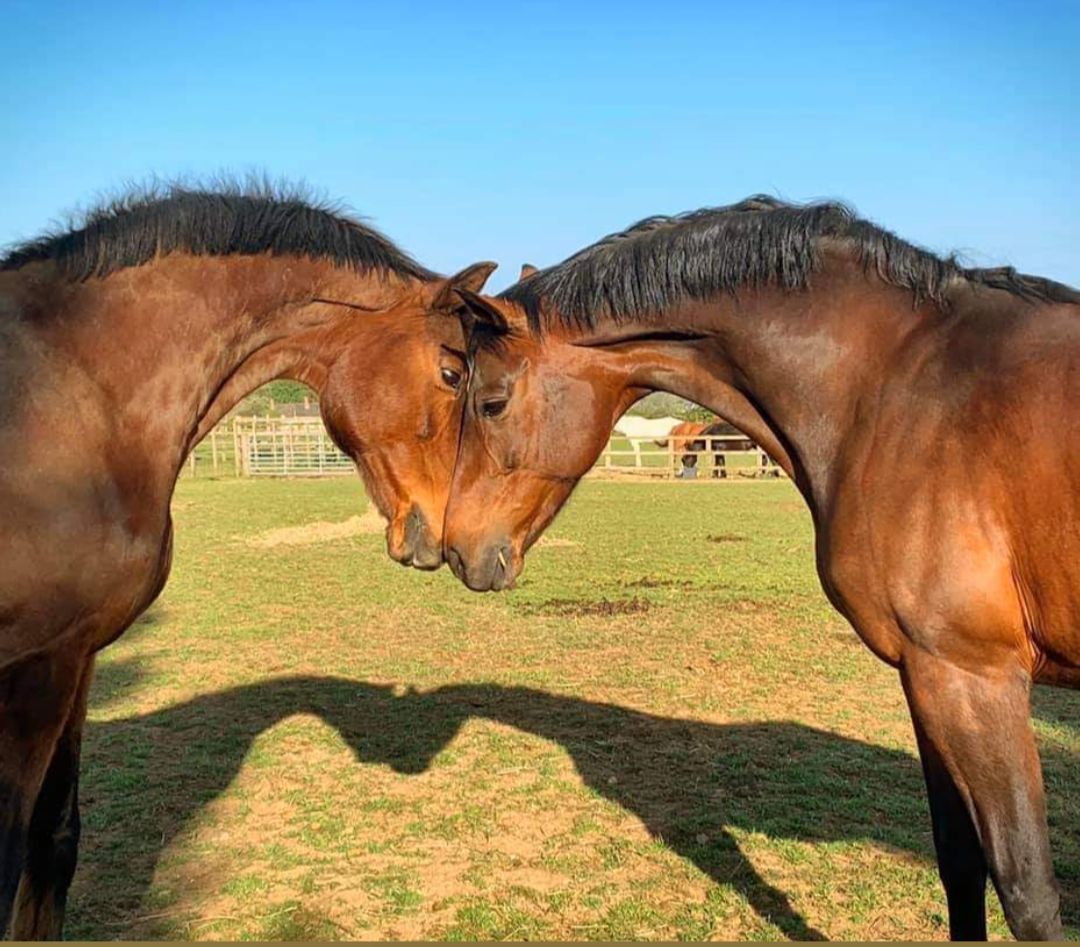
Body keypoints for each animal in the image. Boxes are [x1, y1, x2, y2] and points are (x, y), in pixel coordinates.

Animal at [0, 181, 500, 938]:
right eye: (450, 371)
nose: (448, 536)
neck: (76, 389)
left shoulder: (75, 656)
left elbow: (52, 841)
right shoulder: (33, 667)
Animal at [441, 195, 1080, 940]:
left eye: (491, 402)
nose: (457, 548)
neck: (898, 385)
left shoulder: (975, 677)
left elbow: (1027, 893)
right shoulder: (930, 678)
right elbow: (961, 870)